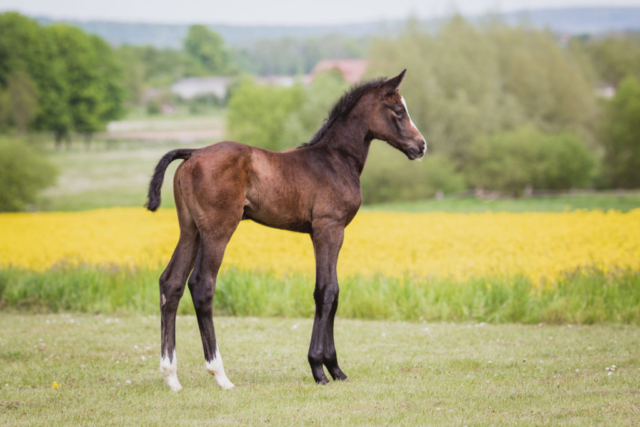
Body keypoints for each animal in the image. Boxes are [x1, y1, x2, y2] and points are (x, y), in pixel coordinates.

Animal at [146, 69, 424, 392]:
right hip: (217, 231)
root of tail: (193, 153)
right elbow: (326, 291)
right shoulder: (329, 229)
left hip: (190, 230)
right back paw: (220, 374)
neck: (337, 159)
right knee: (202, 284)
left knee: (171, 283)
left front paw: (335, 368)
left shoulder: (324, 232)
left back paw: (171, 377)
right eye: (399, 110)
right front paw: (320, 368)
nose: (421, 146)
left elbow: (332, 291)